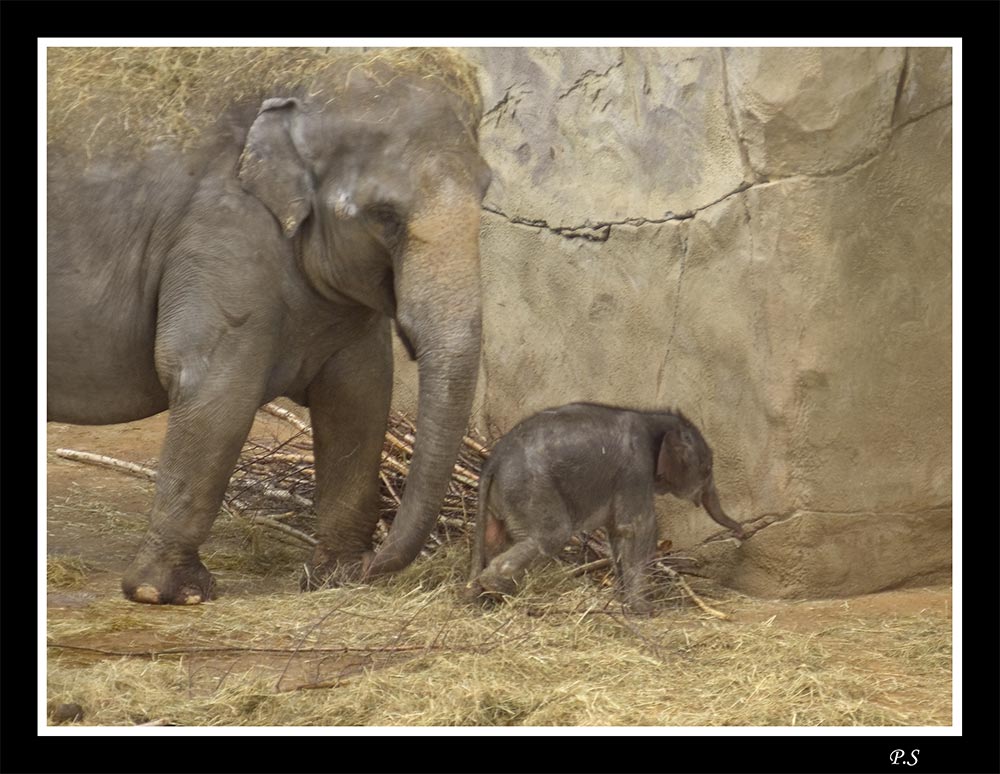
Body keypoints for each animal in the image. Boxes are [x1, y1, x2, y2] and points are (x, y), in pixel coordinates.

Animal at [47, 48, 492, 608]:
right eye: (384, 216)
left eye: (486, 191)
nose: (377, 564)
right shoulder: (222, 230)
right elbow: (215, 388)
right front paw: (170, 593)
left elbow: (359, 395)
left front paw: (337, 576)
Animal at [466, 404, 744, 616]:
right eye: (707, 469)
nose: (741, 532)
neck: (652, 419)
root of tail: (493, 459)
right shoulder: (635, 471)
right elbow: (636, 529)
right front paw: (644, 611)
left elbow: (616, 533)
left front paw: (621, 599)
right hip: (532, 489)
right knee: (551, 536)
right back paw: (498, 590)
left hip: (503, 498)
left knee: (496, 537)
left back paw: (485, 594)